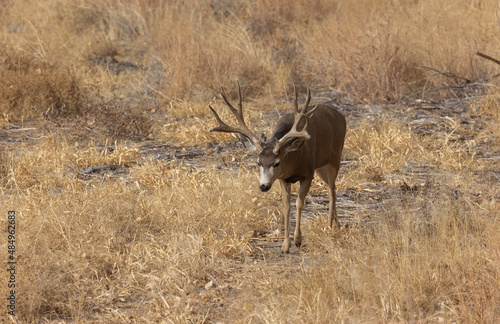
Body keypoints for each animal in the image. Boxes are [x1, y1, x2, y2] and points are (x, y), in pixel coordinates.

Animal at [209, 83, 346, 253]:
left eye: (277, 163)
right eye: (258, 162)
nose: (263, 186)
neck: (295, 159)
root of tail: (340, 115)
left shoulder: (308, 173)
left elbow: (299, 202)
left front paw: (298, 239)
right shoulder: (283, 178)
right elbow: (286, 206)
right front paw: (285, 245)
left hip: (335, 157)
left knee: (332, 190)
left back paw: (329, 226)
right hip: (321, 166)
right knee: (330, 187)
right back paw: (338, 225)